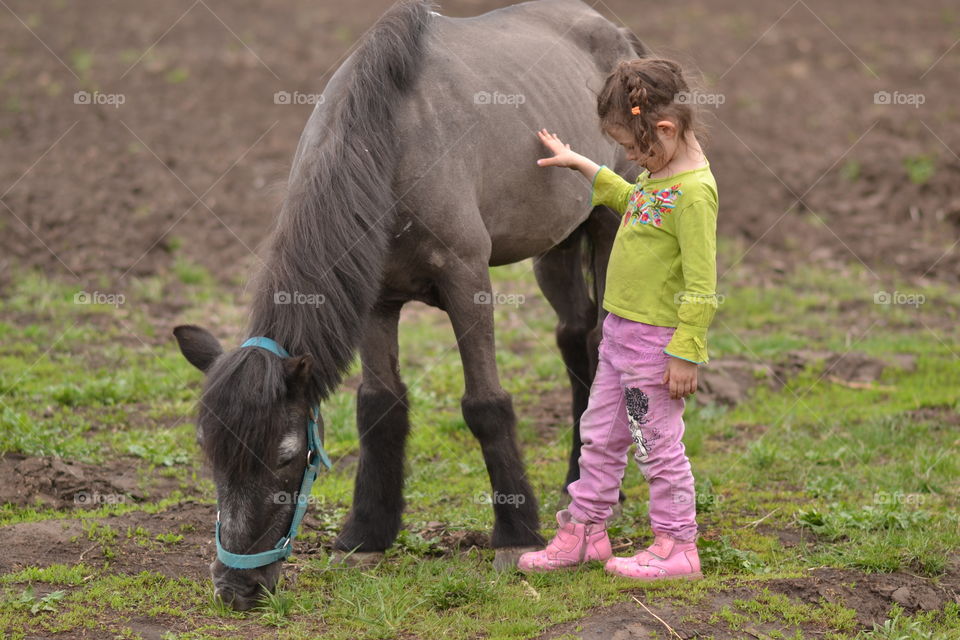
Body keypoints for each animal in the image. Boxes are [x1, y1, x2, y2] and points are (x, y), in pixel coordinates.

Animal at [174, 0, 644, 610]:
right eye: (209, 453)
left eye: (287, 457)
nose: (234, 588)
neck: (389, 144)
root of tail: (615, 32)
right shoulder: (375, 300)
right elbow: (379, 406)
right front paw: (366, 535)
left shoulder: (467, 280)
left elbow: (485, 405)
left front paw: (516, 537)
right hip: (557, 244)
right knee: (575, 335)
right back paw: (575, 480)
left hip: (610, 228)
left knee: (605, 341)